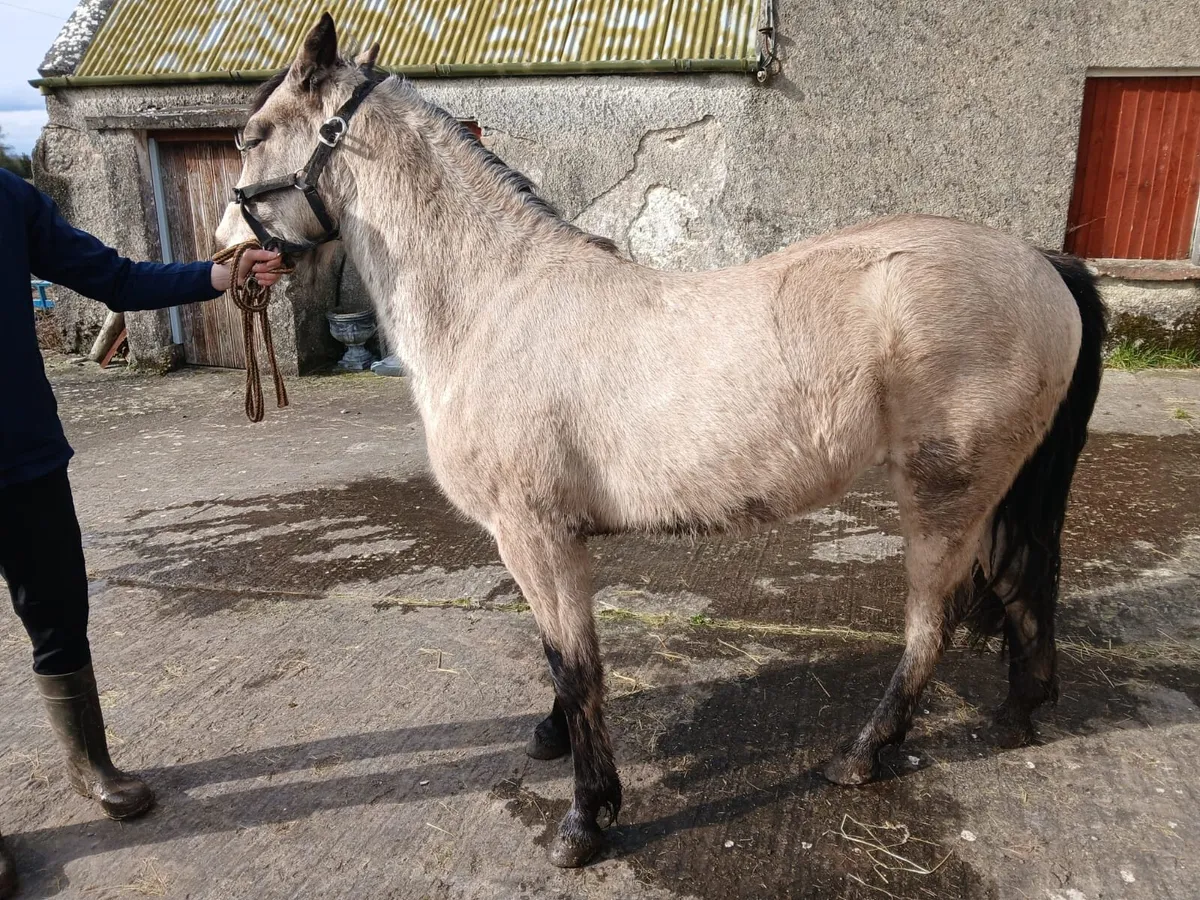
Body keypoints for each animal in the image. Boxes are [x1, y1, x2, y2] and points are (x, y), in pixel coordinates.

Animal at [216, 14, 1106, 869]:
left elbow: (575, 667)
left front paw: (586, 820)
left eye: (251, 134)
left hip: (943, 497)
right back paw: (1019, 712)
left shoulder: (532, 535)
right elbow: (562, 659)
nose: (227, 257)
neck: (493, 303)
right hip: (990, 496)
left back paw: (862, 754)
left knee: (933, 625)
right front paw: (553, 742)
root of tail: (1042, 264)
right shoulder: (554, 539)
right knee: (1022, 584)